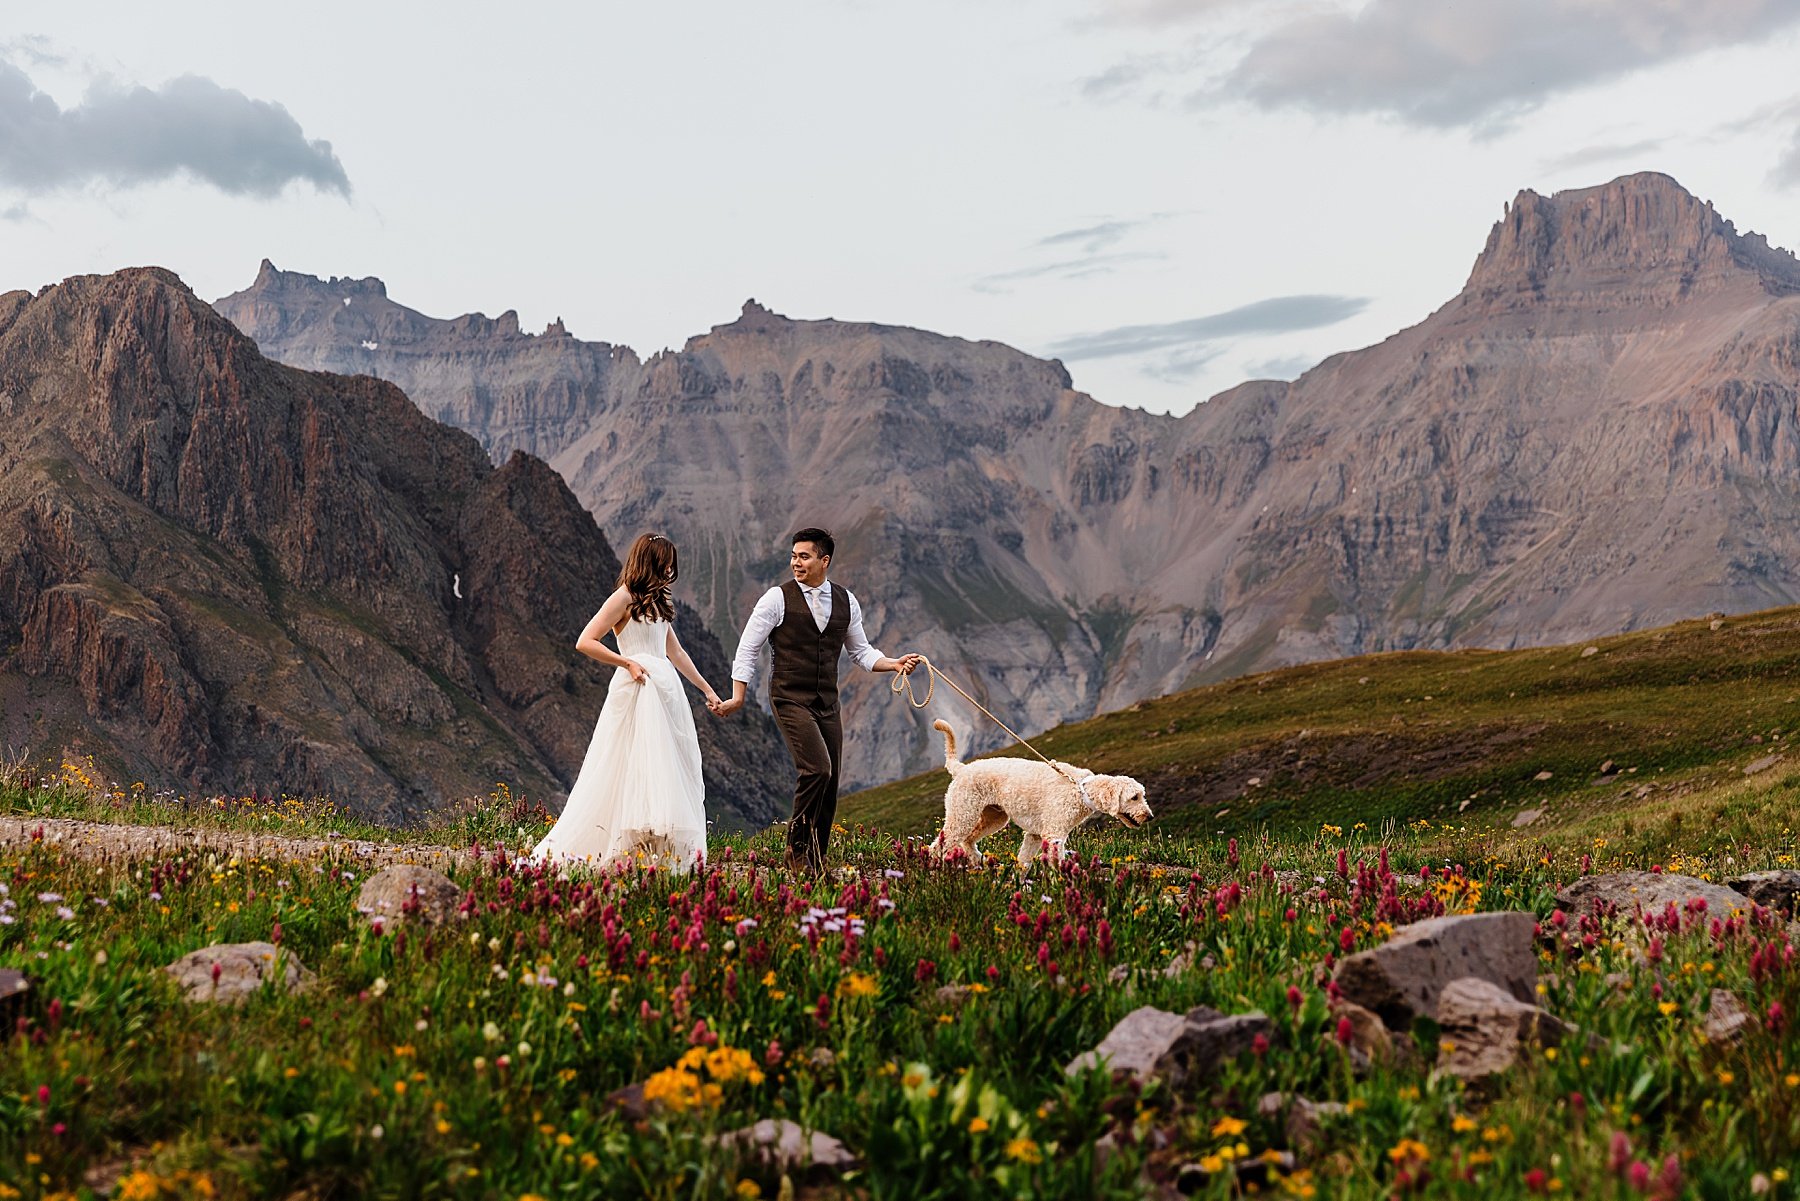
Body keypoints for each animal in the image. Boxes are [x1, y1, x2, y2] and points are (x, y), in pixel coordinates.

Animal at [936, 720, 1144, 867]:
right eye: (1134, 797)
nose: (1148, 816)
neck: (1080, 789)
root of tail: (961, 768)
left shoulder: (1035, 835)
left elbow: (1024, 862)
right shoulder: (1054, 833)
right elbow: (1055, 863)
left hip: (994, 816)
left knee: (967, 840)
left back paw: (977, 860)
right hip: (962, 813)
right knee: (939, 845)